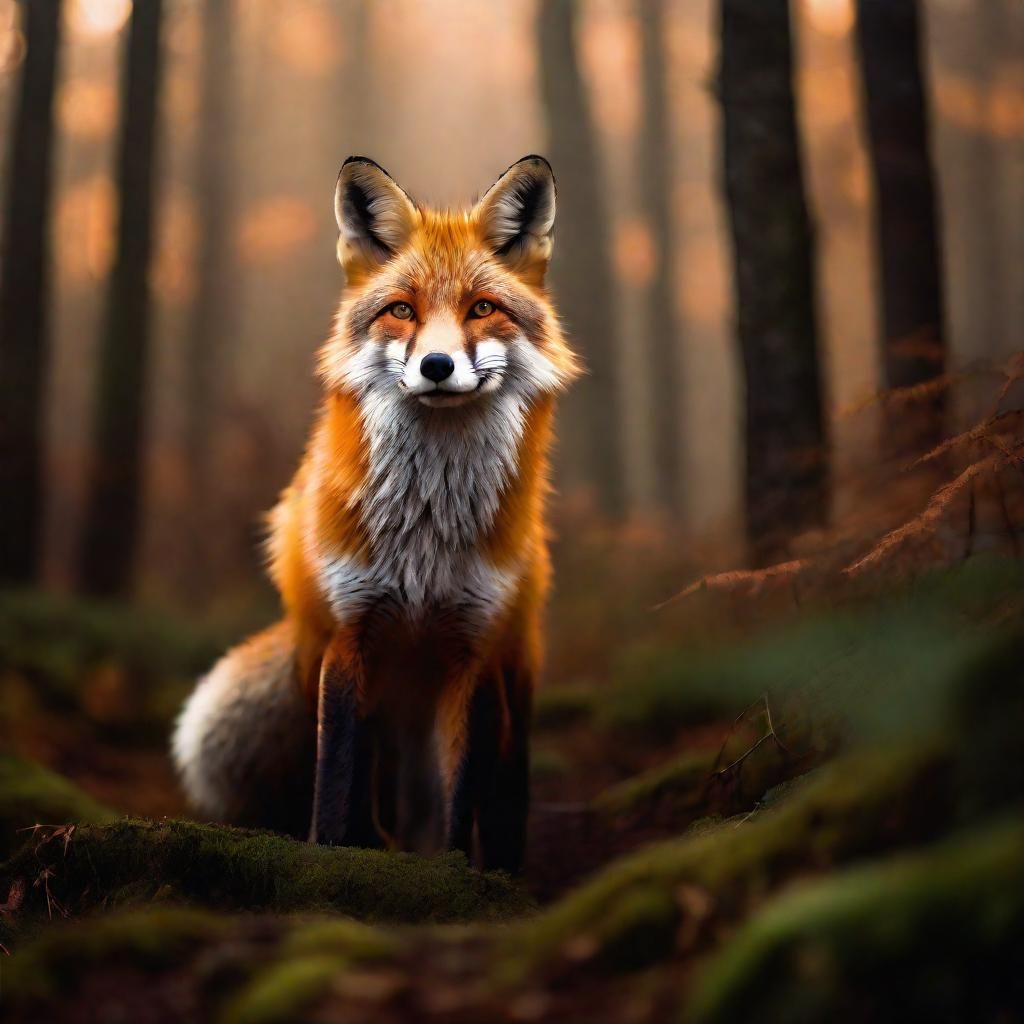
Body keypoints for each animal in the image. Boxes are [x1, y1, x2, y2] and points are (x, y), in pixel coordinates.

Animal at [172, 155, 579, 873]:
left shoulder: (472, 651)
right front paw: (332, 857)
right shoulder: (350, 635)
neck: (426, 535)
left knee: (495, 792)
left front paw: (453, 877)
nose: (437, 365)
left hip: (511, 681)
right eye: (401, 310)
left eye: (482, 309)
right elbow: (338, 781)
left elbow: (461, 796)